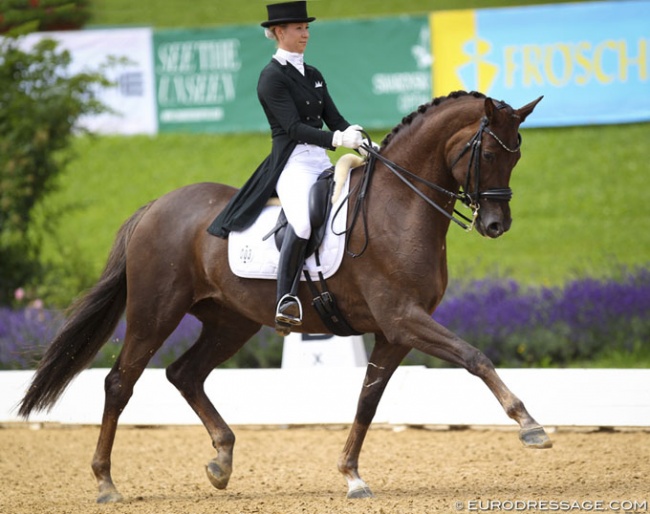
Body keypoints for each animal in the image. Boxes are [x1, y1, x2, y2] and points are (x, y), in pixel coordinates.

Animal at [19, 89, 548, 500]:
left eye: (517, 156)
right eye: (489, 154)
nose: (496, 225)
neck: (398, 206)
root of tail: (155, 206)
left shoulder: (394, 333)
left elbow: (368, 399)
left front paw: (351, 476)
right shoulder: (404, 318)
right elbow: (474, 356)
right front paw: (529, 424)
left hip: (231, 322)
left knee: (184, 374)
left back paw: (221, 462)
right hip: (156, 313)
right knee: (119, 383)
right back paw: (106, 483)